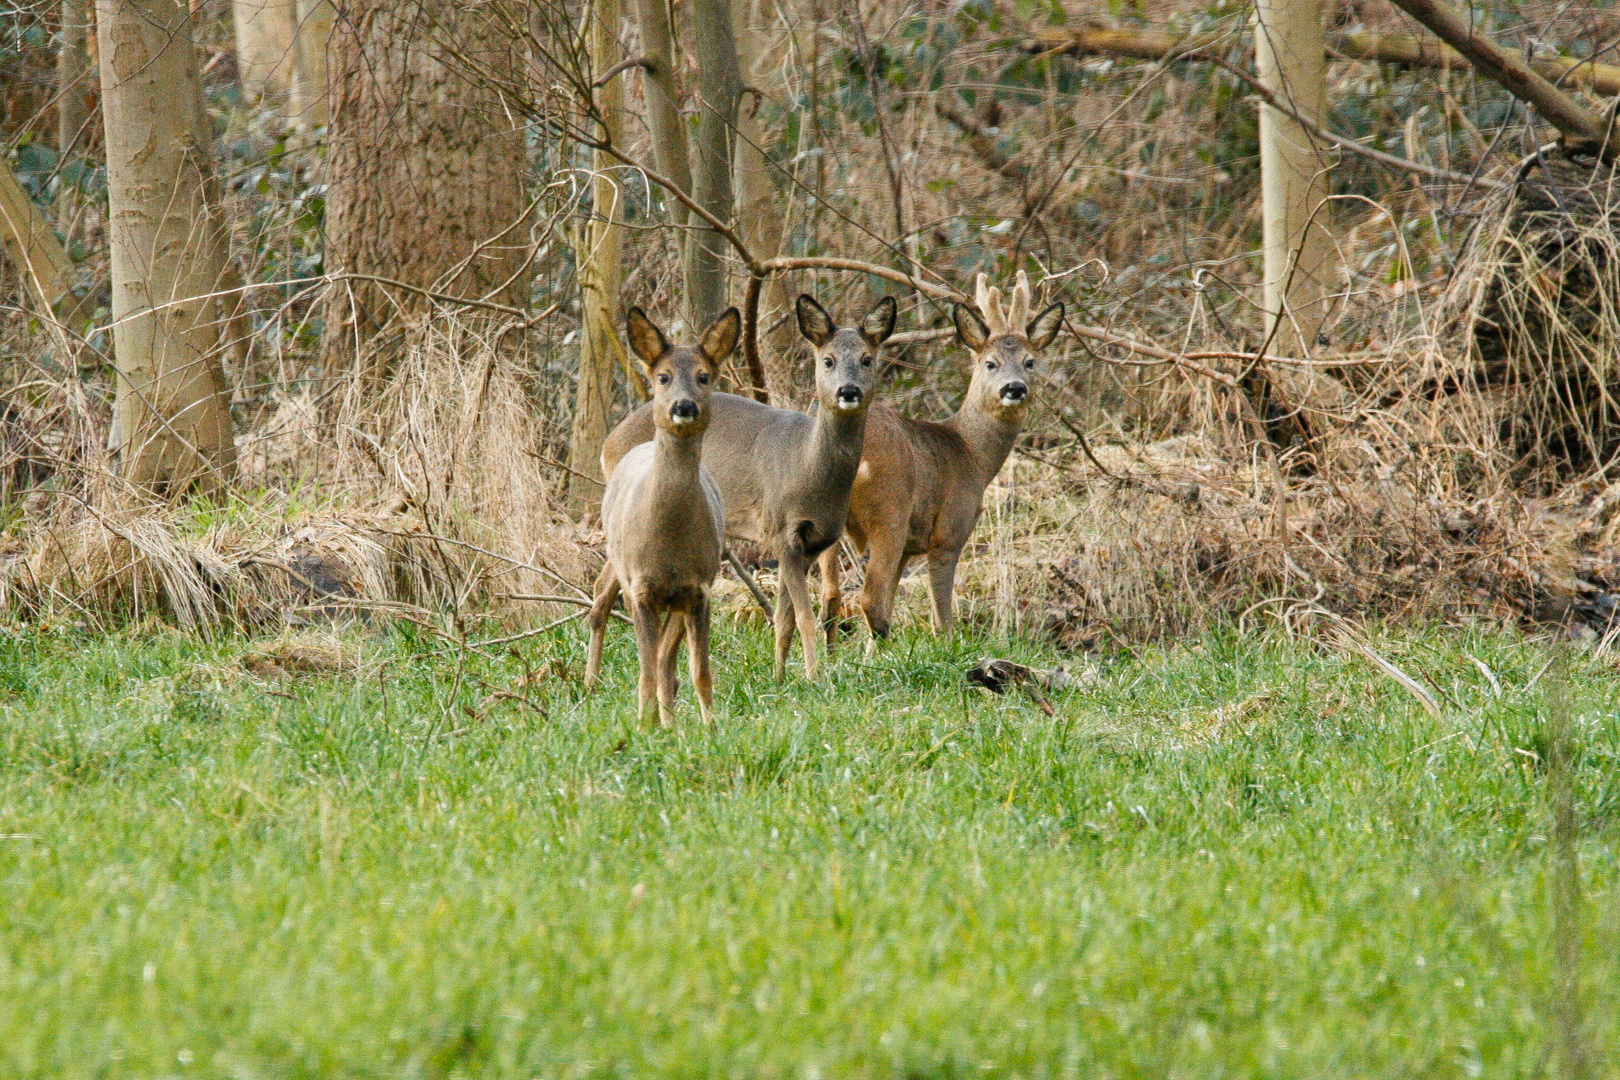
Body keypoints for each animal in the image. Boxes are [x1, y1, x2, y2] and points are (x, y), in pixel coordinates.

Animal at [583, 304, 735, 725]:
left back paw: (667, 719)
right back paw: (591, 685)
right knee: (601, 597)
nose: (683, 406)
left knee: (668, 659)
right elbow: (645, 669)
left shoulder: (699, 589)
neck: (669, 540)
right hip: (619, 559)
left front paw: (710, 727)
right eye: (663, 377)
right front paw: (642, 726)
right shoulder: (641, 588)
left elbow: (699, 671)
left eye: (703, 376)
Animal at [602, 293, 894, 683]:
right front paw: (814, 677)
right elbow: (804, 617)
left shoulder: (812, 544)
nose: (848, 390)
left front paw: (780, 678)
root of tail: (609, 440)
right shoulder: (782, 529)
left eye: (867, 359)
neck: (807, 466)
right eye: (828, 360)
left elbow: (785, 619)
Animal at [816, 272, 1069, 641]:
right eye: (990, 363)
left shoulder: (910, 547)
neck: (971, 454)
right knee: (867, 599)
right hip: (889, 511)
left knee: (830, 598)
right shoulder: (948, 533)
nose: (1015, 388)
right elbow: (942, 620)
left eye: (1030, 362)